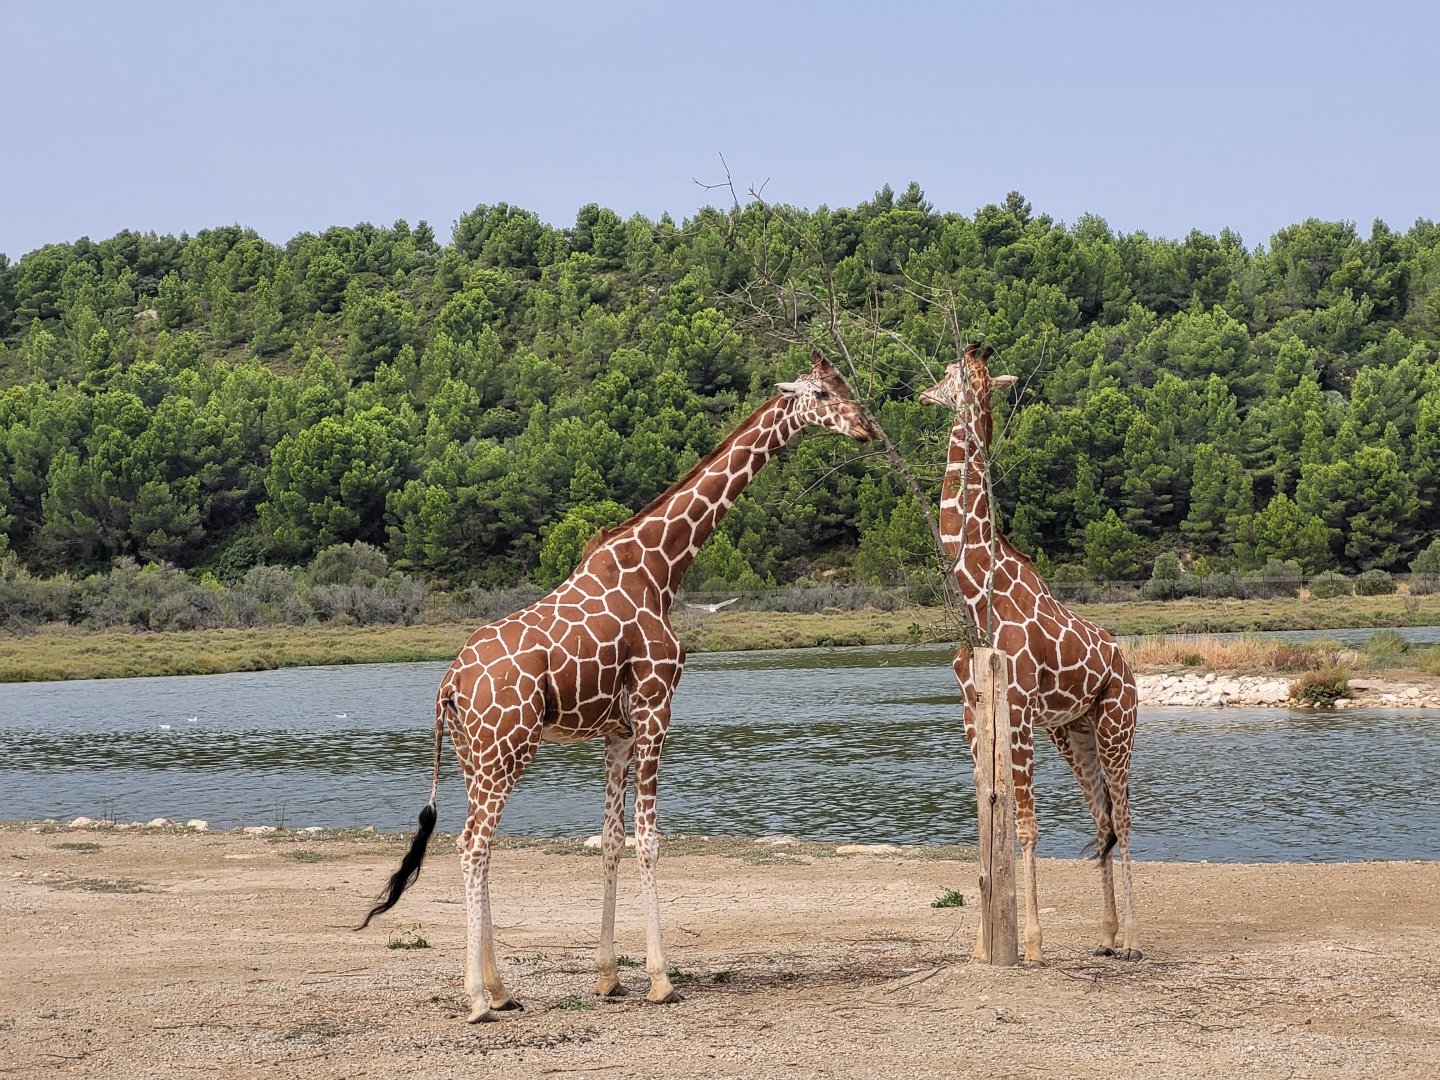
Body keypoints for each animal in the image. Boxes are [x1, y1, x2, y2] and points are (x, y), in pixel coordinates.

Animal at [359, 349, 875, 1021]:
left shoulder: (618, 731)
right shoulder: (657, 708)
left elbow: (608, 841)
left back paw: (501, 989)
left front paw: (607, 977)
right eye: (822, 392)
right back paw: (475, 998)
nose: (865, 427)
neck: (659, 568)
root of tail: (449, 681)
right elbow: (649, 840)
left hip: (476, 757)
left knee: (479, 848)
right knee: (473, 846)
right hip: (506, 751)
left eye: (844, 384)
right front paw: (660, 978)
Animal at [918, 345, 1141, 963]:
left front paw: (1034, 945)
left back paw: (1135, 939)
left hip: (1118, 722)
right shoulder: (973, 709)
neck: (979, 591)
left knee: (1124, 818)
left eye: (953, 375)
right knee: (1101, 816)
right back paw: (1107, 935)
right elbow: (987, 822)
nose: (923, 393)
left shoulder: (1015, 707)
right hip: (1073, 730)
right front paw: (980, 946)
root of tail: (1127, 665)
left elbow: (1024, 826)